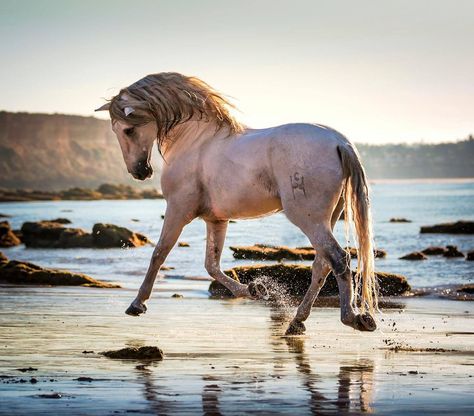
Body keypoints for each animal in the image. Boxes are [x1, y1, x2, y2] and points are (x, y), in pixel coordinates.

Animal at [96, 72, 378, 334]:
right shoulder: (216, 219)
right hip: (328, 217)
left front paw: (137, 304)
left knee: (339, 260)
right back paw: (297, 322)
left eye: (128, 129)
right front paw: (254, 289)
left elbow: (159, 253)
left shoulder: (178, 210)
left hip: (309, 219)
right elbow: (212, 265)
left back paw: (354, 318)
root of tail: (339, 142)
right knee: (322, 265)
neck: (195, 140)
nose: (140, 172)